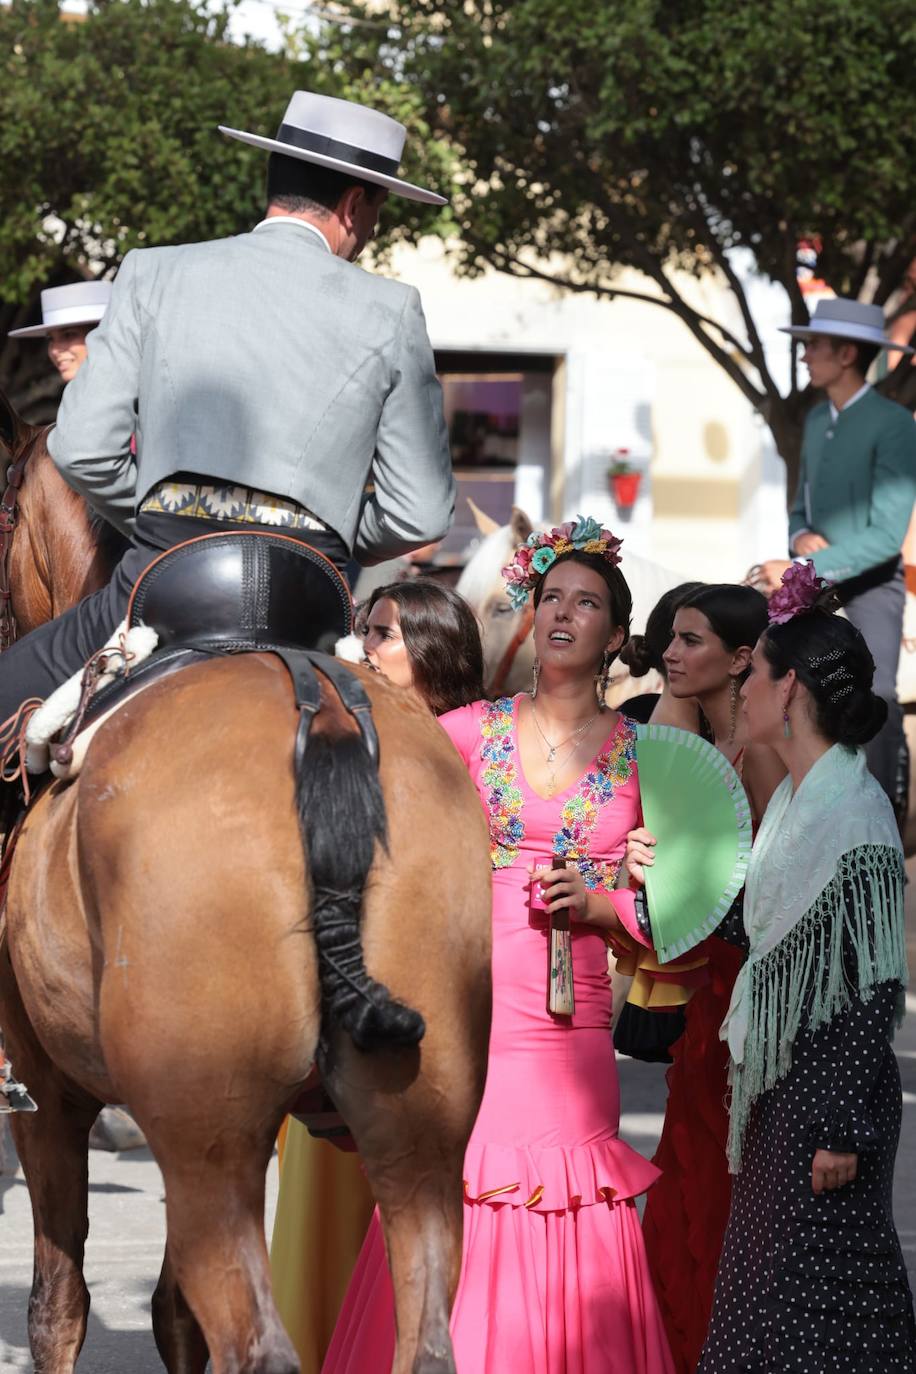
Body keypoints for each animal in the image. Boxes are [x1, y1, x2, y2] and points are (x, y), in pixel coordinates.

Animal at [1, 434, 494, 1368]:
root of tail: (319, 711)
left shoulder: (47, 1097)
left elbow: (58, 1304)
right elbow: (169, 1313)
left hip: (208, 1136)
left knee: (255, 1341)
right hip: (420, 1136)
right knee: (427, 1338)